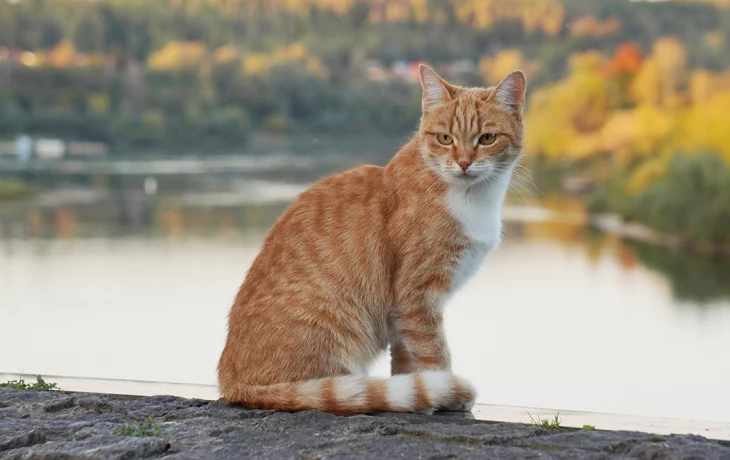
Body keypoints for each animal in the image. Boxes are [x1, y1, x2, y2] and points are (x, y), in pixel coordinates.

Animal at [216, 63, 524, 414]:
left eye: (487, 138)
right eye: (445, 138)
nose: (463, 163)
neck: (471, 199)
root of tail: (232, 383)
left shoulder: (404, 315)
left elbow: (406, 362)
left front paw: (422, 394)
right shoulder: (416, 297)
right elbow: (434, 354)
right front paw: (449, 393)